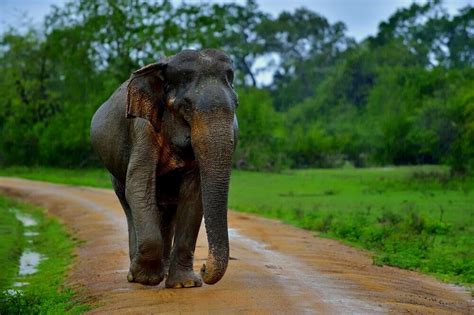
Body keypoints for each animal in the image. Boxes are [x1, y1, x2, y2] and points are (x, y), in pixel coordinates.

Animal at [90, 49, 237, 288]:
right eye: (186, 106)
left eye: (236, 105)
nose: (204, 268)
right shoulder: (142, 128)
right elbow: (138, 186)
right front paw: (146, 279)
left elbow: (193, 195)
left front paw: (184, 284)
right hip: (115, 173)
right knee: (128, 202)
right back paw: (134, 274)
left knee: (168, 211)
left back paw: (165, 270)